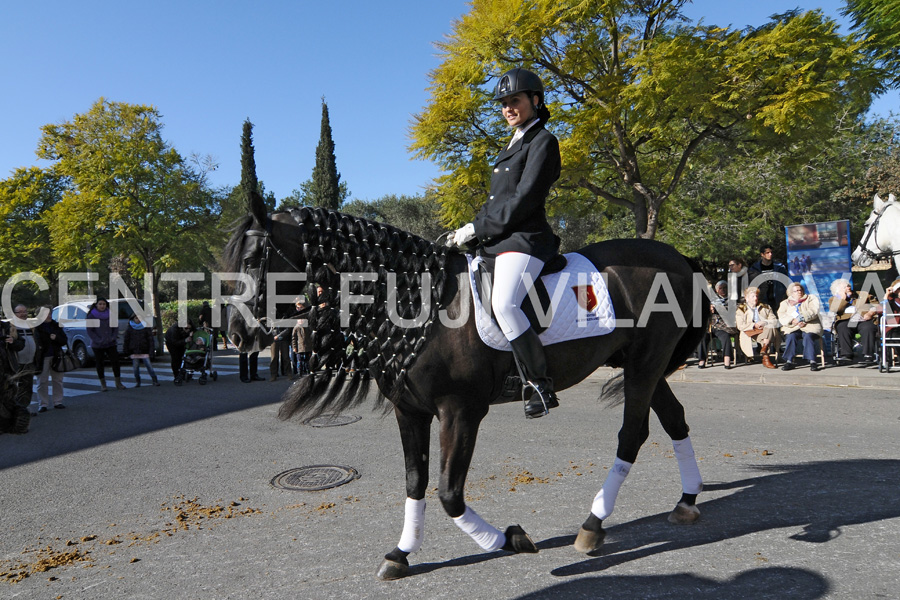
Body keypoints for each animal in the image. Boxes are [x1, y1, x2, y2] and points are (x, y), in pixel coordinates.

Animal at [223, 195, 712, 580]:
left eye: (251, 261)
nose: (236, 337)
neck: (420, 303)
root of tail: (679, 258)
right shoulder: (409, 410)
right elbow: (416, 480)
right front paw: (401, 553)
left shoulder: (459, 411)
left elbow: (449, 493)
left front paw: (510, 539)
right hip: (643, 366)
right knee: (674, 420)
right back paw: (687, 500)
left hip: (644, 366)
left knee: (632, 434)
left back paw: (592, 526)